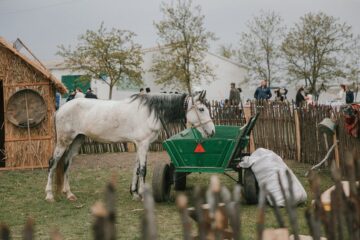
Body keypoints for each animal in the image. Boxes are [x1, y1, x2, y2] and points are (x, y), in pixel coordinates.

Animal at [45, 91, 214, 202]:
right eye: (201, 109)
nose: (212, 131)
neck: (150, 112)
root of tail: (60, 109)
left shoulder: (139, 144)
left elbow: (136, 168)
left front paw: (134, 193)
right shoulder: (143, 144)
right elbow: (143, 170)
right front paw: (143, 195)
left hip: (77, 140)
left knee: (67, 163)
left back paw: (69, 193)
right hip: (64, 141)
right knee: (52, 163)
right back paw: (49, 195)